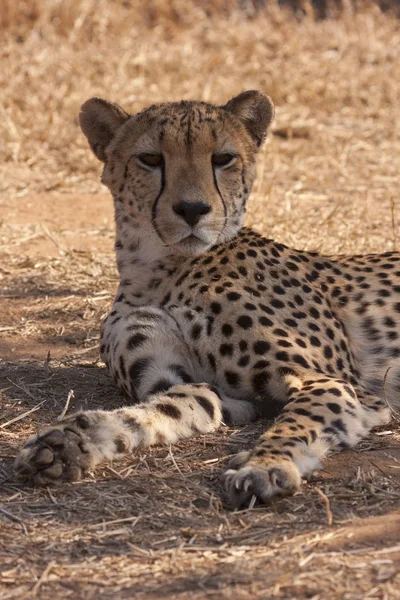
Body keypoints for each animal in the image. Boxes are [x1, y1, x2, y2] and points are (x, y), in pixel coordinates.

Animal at [15, 91, 400, 508]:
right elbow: (160, 410)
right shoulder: (209, 391)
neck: (161, 271)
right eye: (151, 159)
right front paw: (70, 442)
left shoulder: (337, 384)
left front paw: (265, 465)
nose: (192, 209)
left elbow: (295, 423)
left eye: (223, 158)